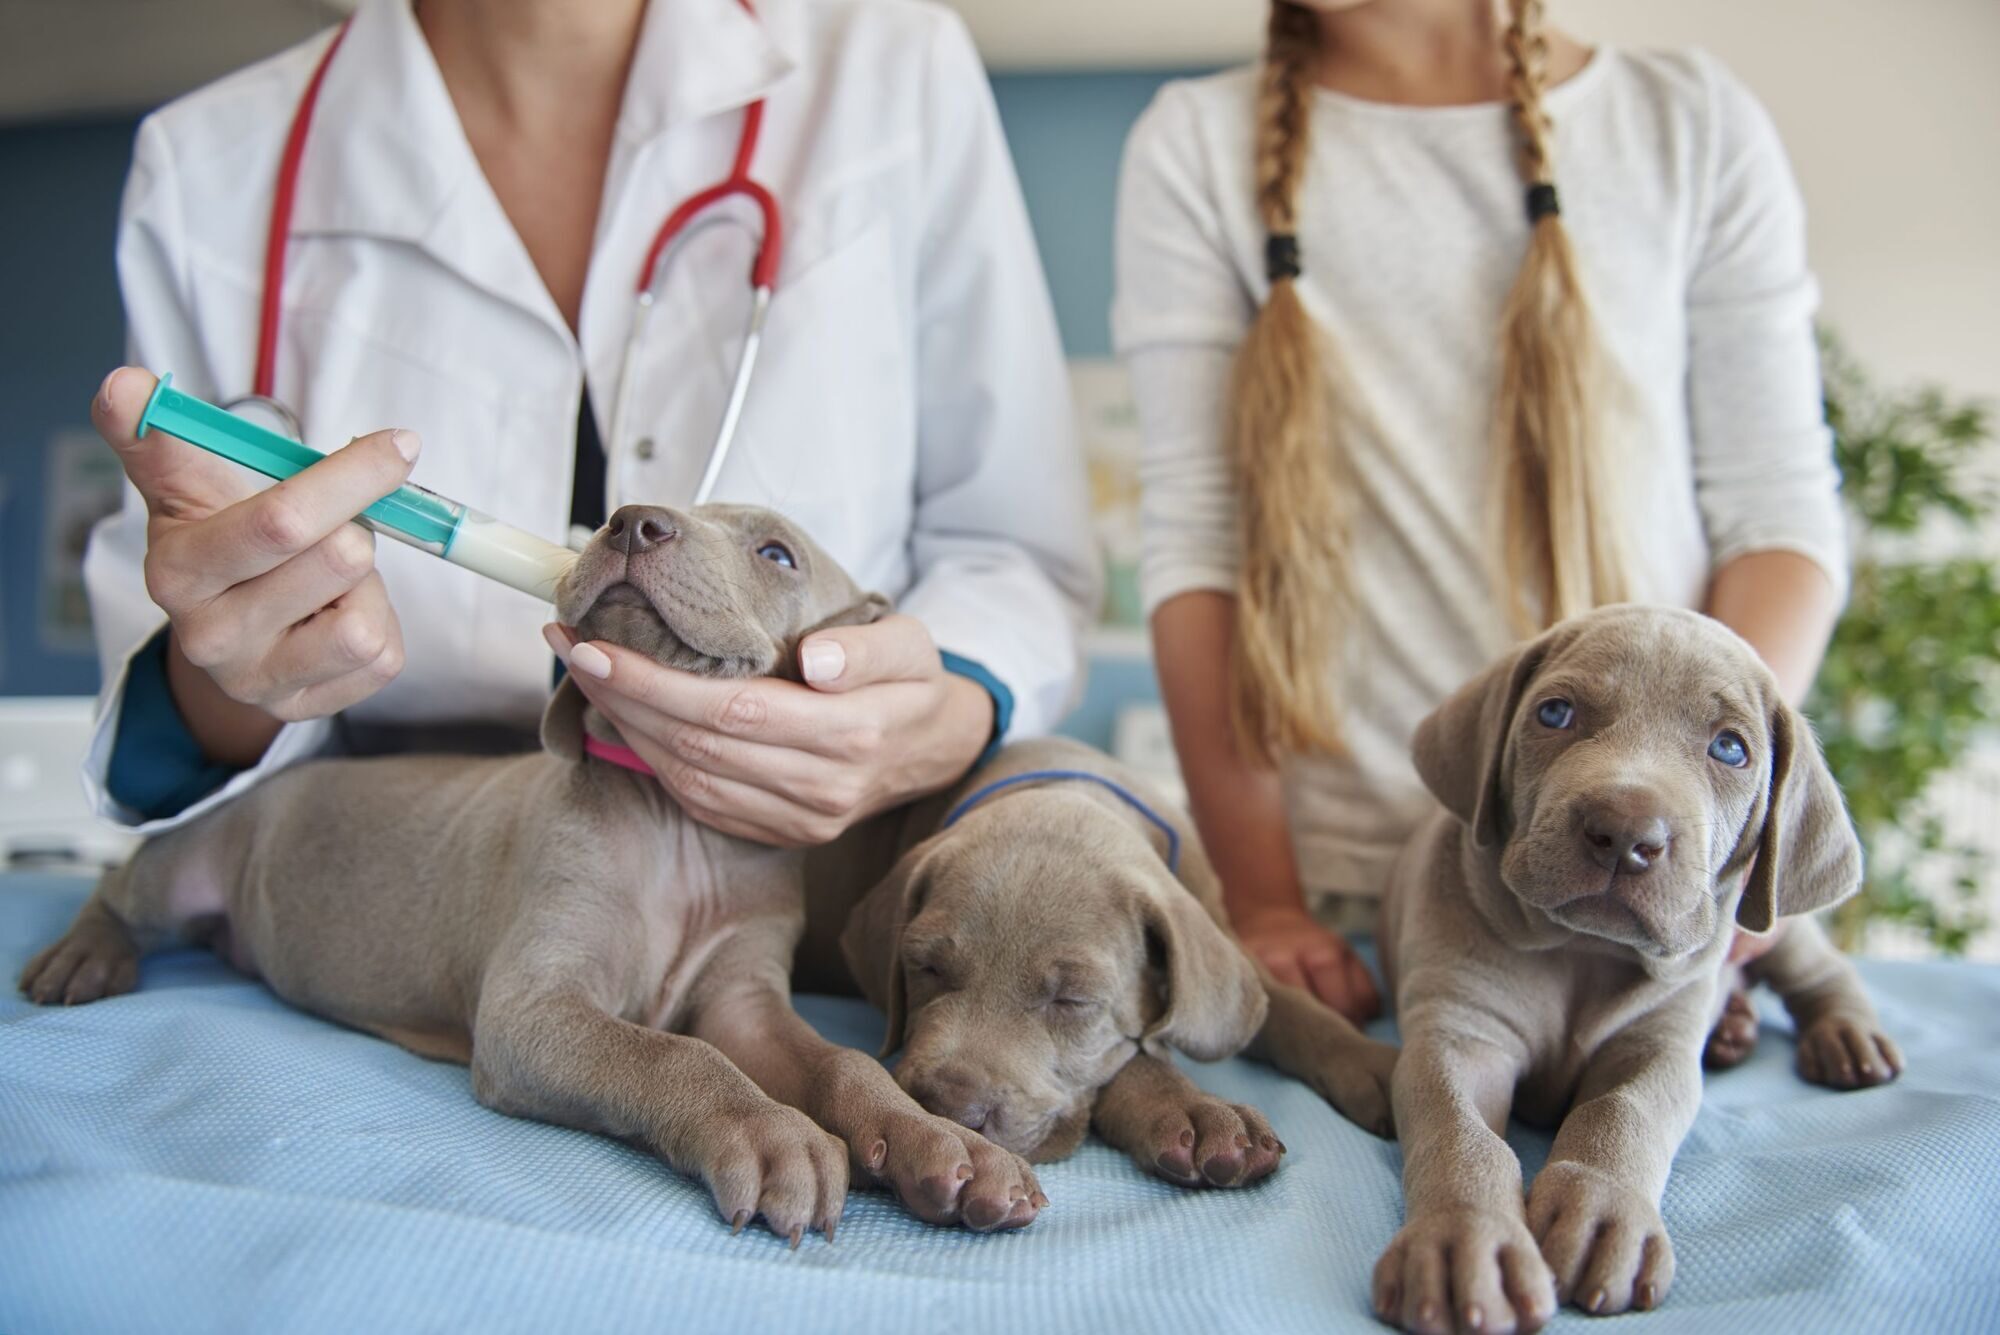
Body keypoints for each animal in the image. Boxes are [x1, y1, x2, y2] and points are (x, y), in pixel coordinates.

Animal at [23, 499, 1048, 1239]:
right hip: (187, 858)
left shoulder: (746, 996)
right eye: (630, 504)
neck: (675, 828)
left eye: (777, 553)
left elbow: (838, 1059)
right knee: (118, 888)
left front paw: (941, 1144)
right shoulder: (532, 1009)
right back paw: (82, 959)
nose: (633, 519)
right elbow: (674, 1052)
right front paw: (771, 1135)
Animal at [836, 739, 1400, 1191]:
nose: (950, 1110)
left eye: (1073, 1000)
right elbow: (1134, 1058)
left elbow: (1294, 1012)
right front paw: (1195, 1111)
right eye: (925, 968)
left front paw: (1375, 1064)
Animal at [1368, 607, 1896, 1335]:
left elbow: (1623, 1111)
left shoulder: (1658, 1046)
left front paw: (1602, 1213)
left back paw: (1845, 1037)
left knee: (1822, 971)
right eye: (1555, 713)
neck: (1583, 953)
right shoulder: (1459, 1033)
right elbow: (1462, 1133)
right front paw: (1464, 1238)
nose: (1623, 832)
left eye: (1731, 749)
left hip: (1777, 929)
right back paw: (1735, 1031)